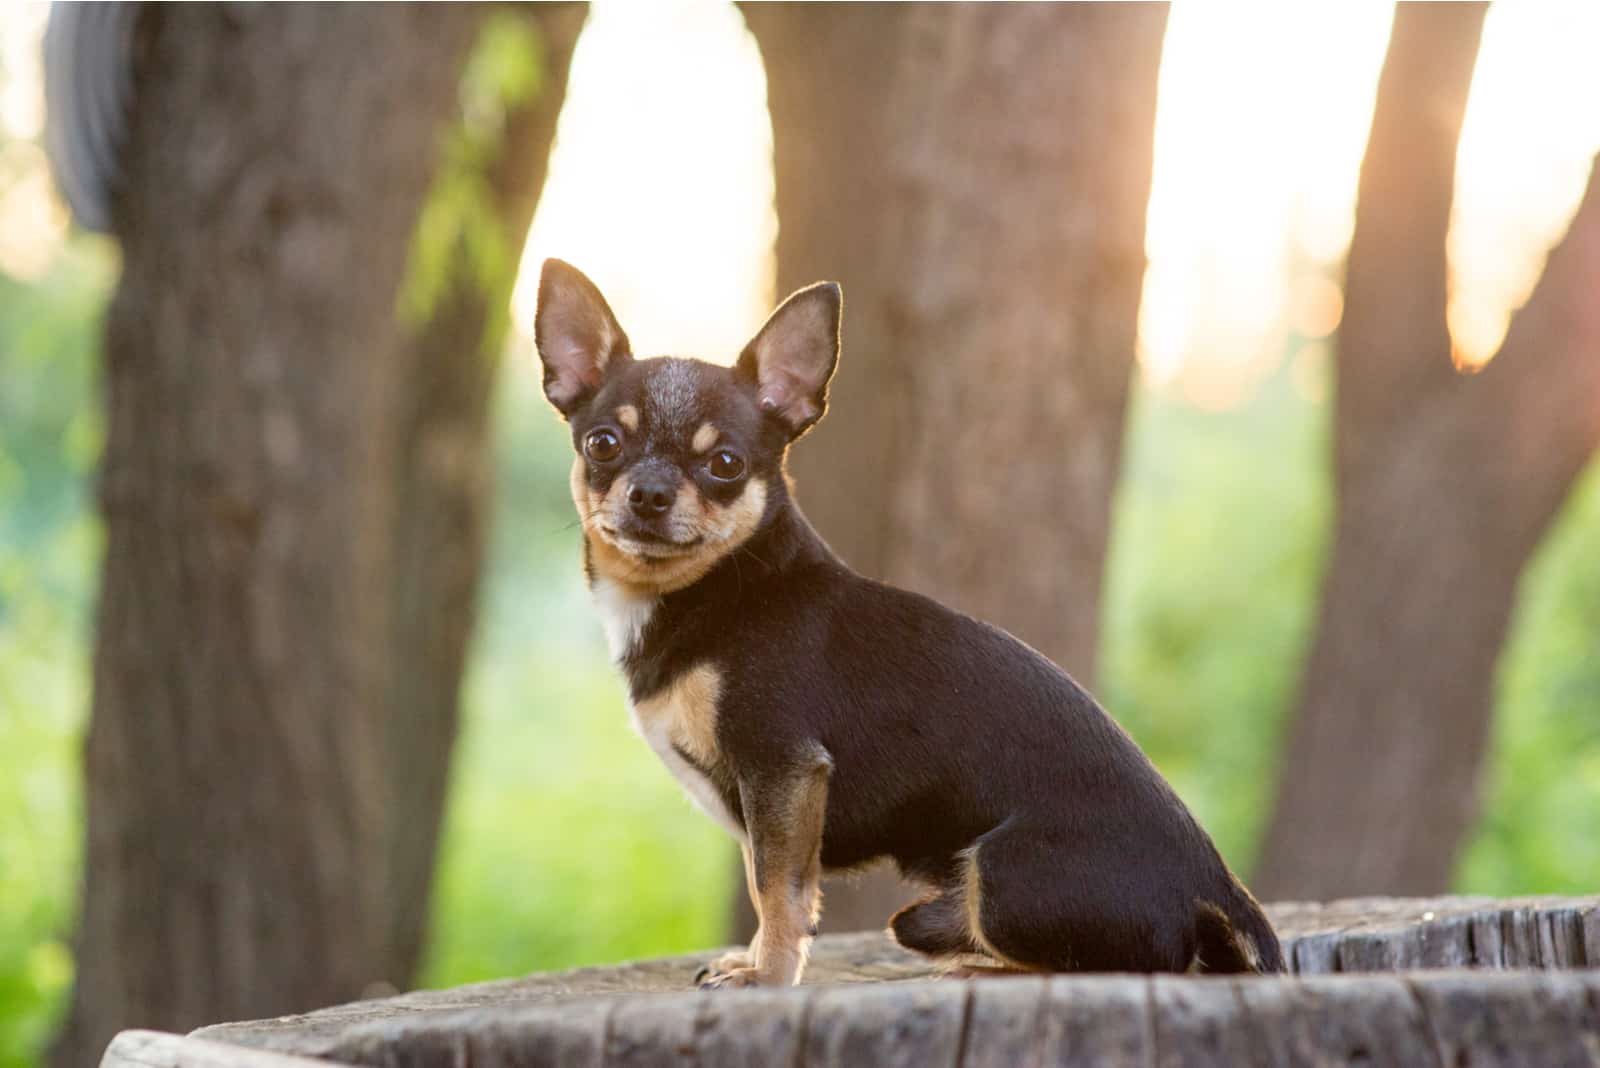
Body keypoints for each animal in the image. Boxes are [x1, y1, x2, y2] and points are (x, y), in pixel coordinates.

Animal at [537, 260, 1286, 991]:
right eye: (603, 444)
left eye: (725, 464)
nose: (650, 493)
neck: (714, 589)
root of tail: (1215, 882)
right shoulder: (769, 799)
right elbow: (767, 880)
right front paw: (752, 960)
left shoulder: (782, 770)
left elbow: (778, 888)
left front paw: (769, 975)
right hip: (933, 908)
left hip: (1002, 876)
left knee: (1132, 962)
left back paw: (979, 967)